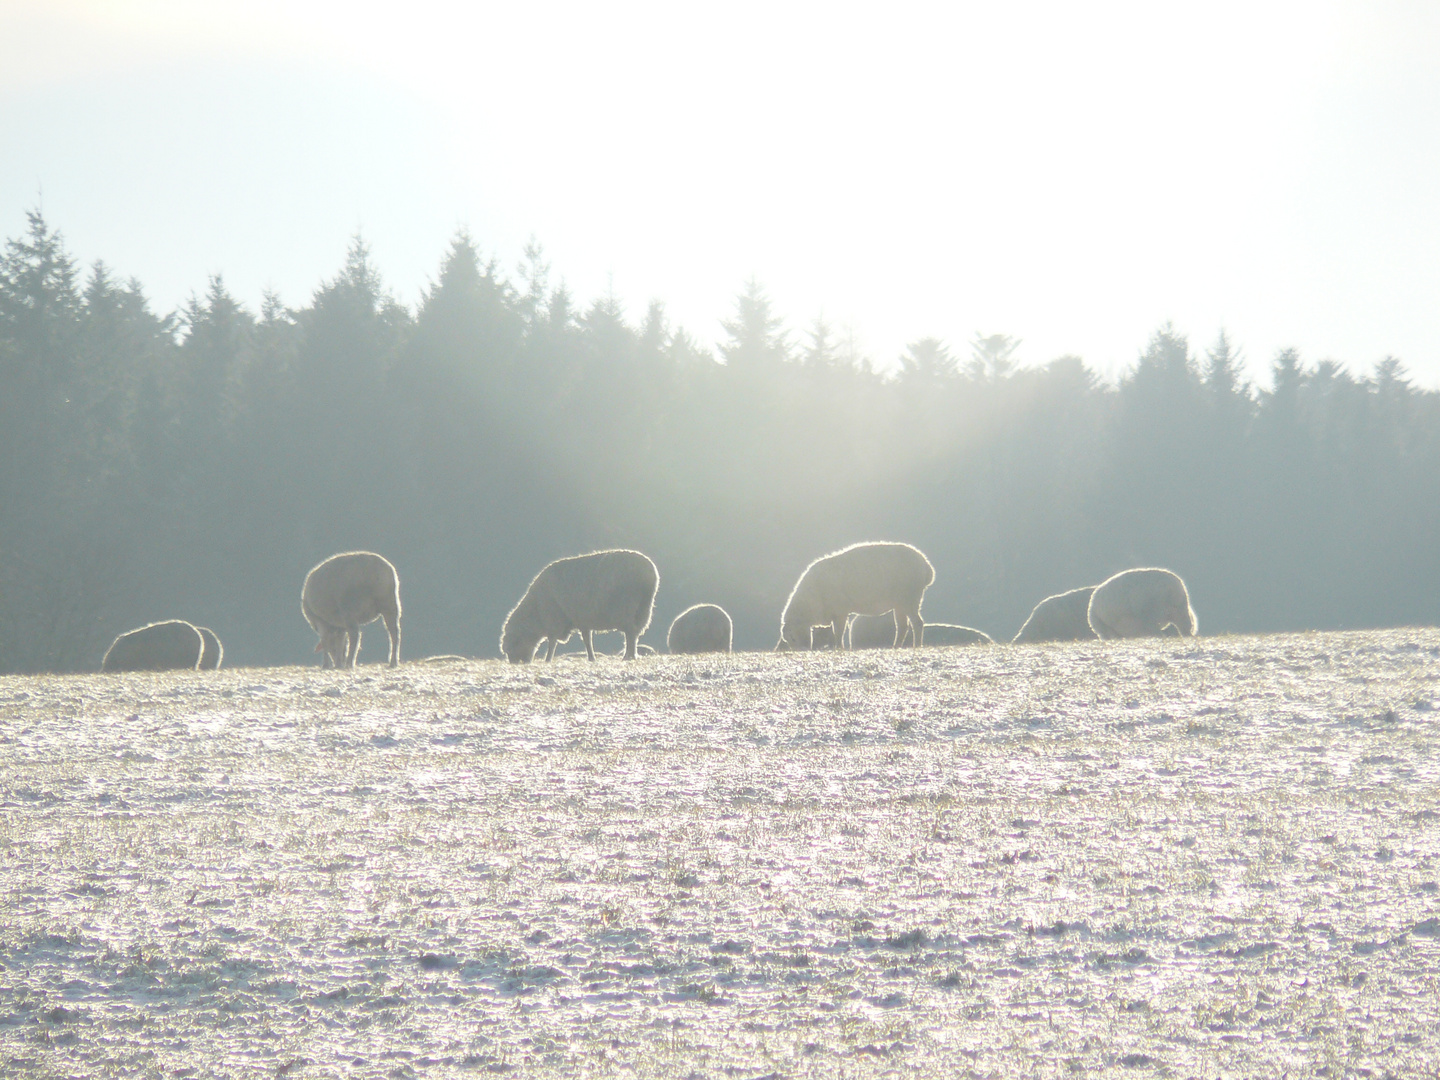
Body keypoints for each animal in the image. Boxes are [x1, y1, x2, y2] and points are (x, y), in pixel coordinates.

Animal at [504, 552, 659, 665]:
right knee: (634, 633)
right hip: (644, 609)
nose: (515, 663)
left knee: (631, 633)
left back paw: (628, 656)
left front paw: (548, 659)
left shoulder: (554, 621)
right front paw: (591, 658)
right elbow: (587, 640)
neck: (535, 611)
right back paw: (630, 655)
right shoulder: (582, 621)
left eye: (513, 646)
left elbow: (552, 642)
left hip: (627, 609)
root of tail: (651, 572)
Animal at [777, 541, 933, 650]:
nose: (802, 650)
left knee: (917, 623)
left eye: (792, 638)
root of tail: (926, 566)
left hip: (910, 599)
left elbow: (838, 632)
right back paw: (896, 646)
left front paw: (839, 648)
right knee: (902, 626)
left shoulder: (840, 611)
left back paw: (916, 645)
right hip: (900, 604)